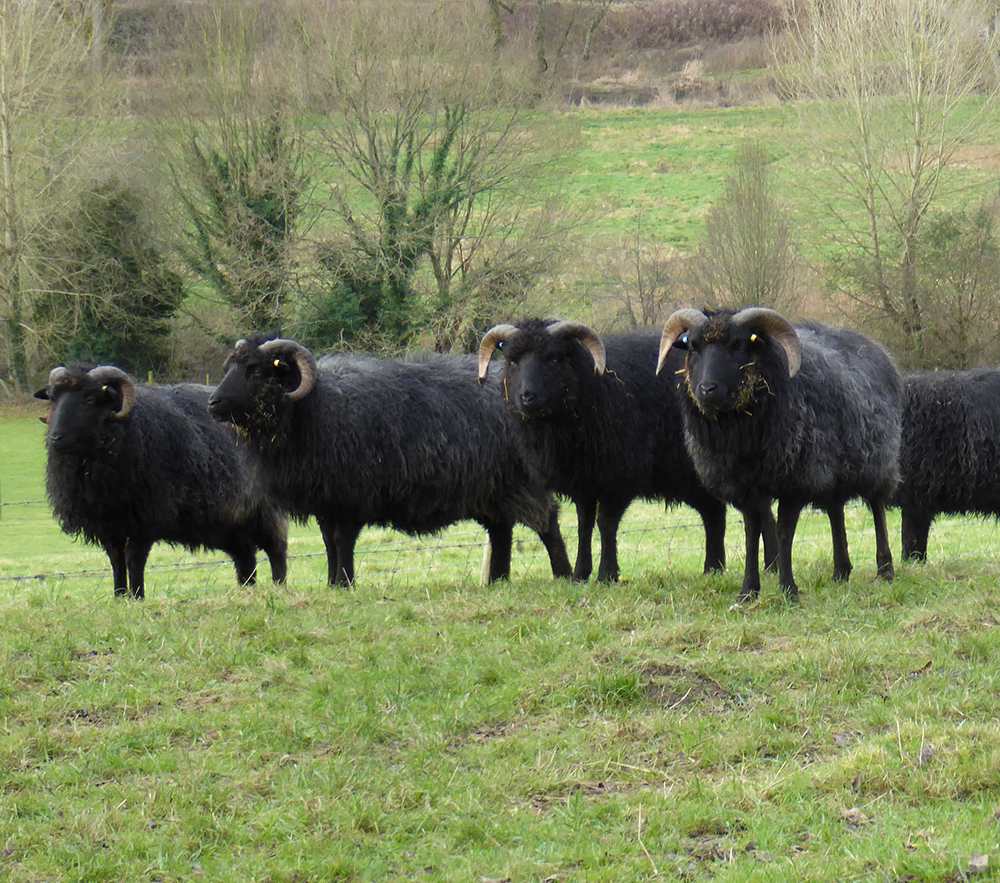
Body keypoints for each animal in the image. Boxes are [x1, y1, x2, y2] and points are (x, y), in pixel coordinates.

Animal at [34, 364, 289, 599]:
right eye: (53, 398)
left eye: (90, 399)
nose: (56, 438)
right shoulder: (108, 524)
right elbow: (116, 562)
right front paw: (119, 597)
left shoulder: (144, 519)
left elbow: (134, 561)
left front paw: (137, 597)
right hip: (230, 522)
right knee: (245, 557)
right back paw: (247, 591)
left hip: (264, 509)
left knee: (277, 549)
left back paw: (279, 587)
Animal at [206, 336, 573, 586]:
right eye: (228, 368)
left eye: (255, 371)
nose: (213, 403)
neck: (313, 408)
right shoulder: (327, 500)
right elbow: (328, 544)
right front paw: (333, 584)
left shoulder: (351, 497)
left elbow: (342, 542)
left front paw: (345, 584)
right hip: (492, 488)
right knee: (501, 531)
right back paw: (497, 581)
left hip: (520, 480)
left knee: (547, 521)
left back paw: (564, 575)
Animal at [477, 319, 729, 582]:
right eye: (512, 360)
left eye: (554, 358)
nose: (527, 396)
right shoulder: (585, 480)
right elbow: (583, 526)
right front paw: (580, 574)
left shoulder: (619, 478)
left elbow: (606, 523)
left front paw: (607, 574)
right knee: (713, 511)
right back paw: (713, 569)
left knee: (714, 511)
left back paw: (714, 566)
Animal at [657, 307, 903, 602]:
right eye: (693, 347)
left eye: (739, 345)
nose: (706, 389)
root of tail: (876, 348)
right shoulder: (745, 488)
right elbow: (752, 533)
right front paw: (748, 591)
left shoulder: (794, 481)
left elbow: (784, 532)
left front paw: (788, 589)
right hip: (831, 469)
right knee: (836, 512)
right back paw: (840, 572)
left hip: (876, 457)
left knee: (877, 507)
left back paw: (885, 569)